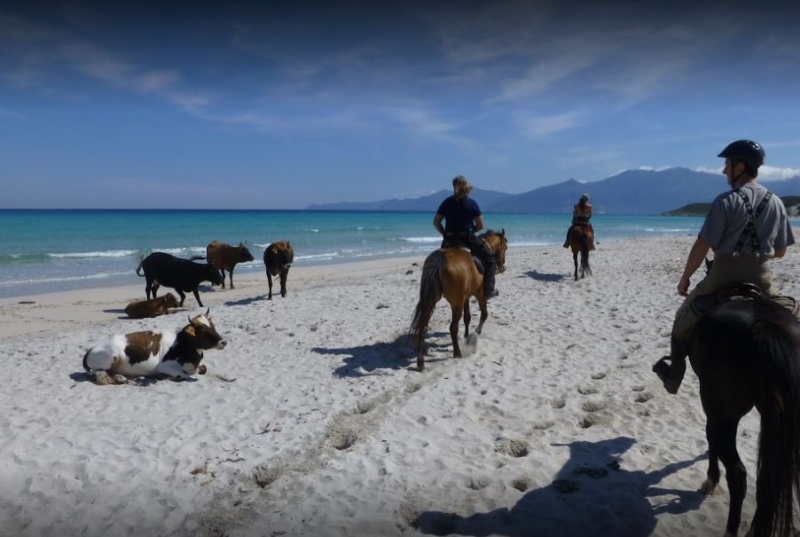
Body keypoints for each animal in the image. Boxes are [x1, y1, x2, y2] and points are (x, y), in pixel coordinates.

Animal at [83, 308, 227, 384]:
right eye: (203, 330)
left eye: (213, 326)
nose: (223, 342)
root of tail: (91, 349)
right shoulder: (165, 365)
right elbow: (184, 375)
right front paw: (166, 376)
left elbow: (204, 369)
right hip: (110, 356)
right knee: (98, 374)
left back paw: (122, 377)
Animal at [410, 228, 510, 370]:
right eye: (505, 247)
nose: (503, 267)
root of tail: (440, 260)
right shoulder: (480, 295)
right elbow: (484, 314)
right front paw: (475, 334)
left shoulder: (465, 297)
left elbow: (467, 317)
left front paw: (466, 335)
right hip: (456, 304)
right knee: (453, 327)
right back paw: (457, 352)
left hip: (432, 299)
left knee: (423, 326)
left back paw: (420, 361)